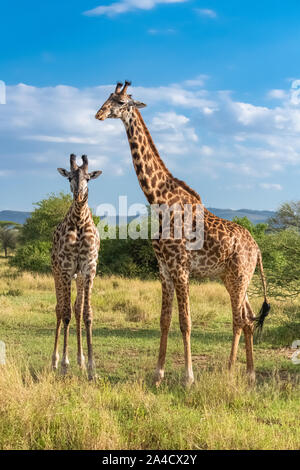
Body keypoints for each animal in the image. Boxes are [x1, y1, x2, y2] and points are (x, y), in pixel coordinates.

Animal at [95, 82, 270, 388]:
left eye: (120, 101)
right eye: (107, 97)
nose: (99, 113)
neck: (158, 199)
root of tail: (257, 248)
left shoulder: (181, 268)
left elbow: (185, 322)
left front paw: (189, 378)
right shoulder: (164, 269)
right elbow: (164, 321)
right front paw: (158, 375)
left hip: (239, 276)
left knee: (239, 319)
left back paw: (229, 372)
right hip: (234, 277)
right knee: (248, 318)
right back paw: (248, 374)